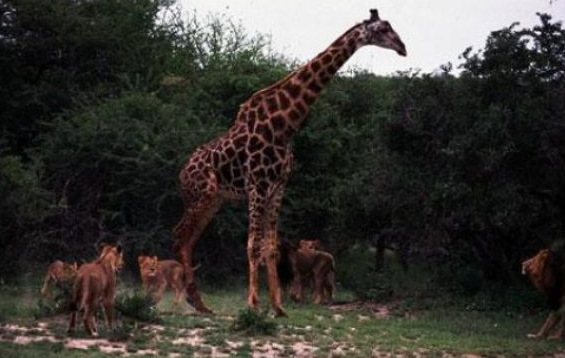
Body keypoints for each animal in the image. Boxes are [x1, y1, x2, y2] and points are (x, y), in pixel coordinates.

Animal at [173, 8, 406, 316]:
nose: (403, 47)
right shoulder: (257, 186)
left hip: (214, 200)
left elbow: (270, 247)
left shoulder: (278, 187)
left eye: (392, 27)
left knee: (189, 239)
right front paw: (253, 304)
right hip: (201, 195)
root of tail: (181, 172)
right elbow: (252, 245)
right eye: (382, 30)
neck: (284, 126)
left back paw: (199, 303)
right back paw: (182, 299)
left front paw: (278, 307)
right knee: (180, 234)